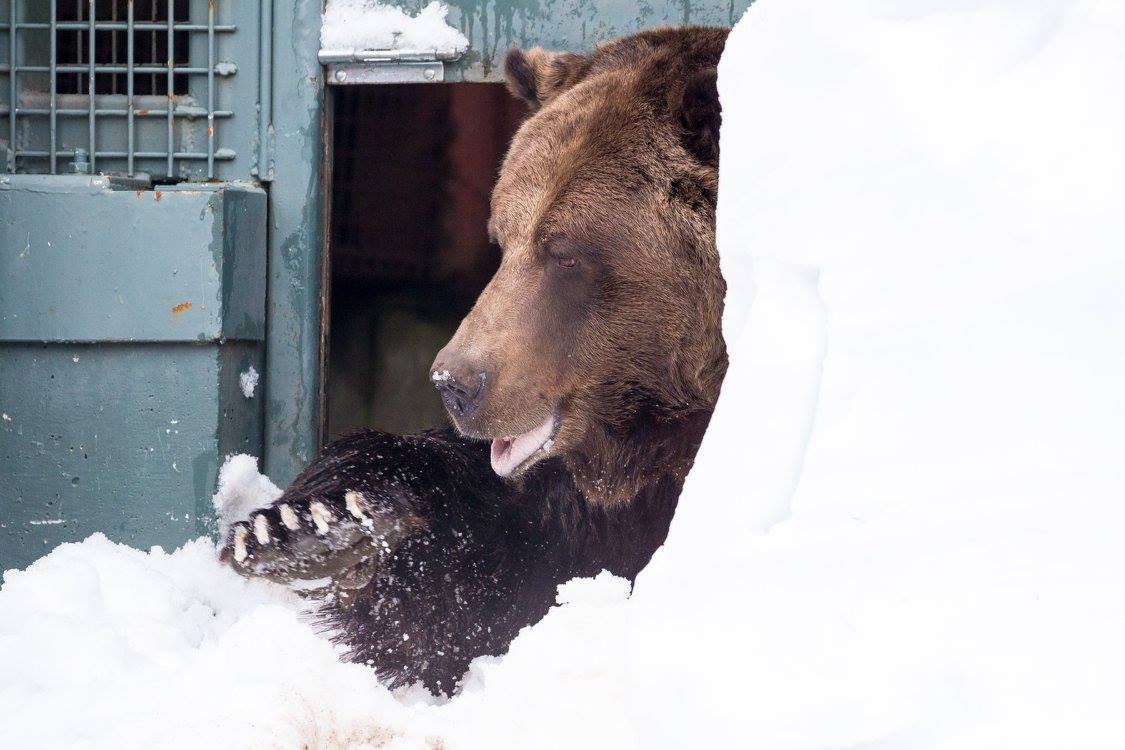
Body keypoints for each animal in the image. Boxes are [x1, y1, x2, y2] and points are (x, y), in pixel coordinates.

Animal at [222, 26, 729, 696]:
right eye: (502, 238)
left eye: (566, 251)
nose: (454, 382)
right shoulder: (584, 508)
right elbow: (489, 572)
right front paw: (307, 523)